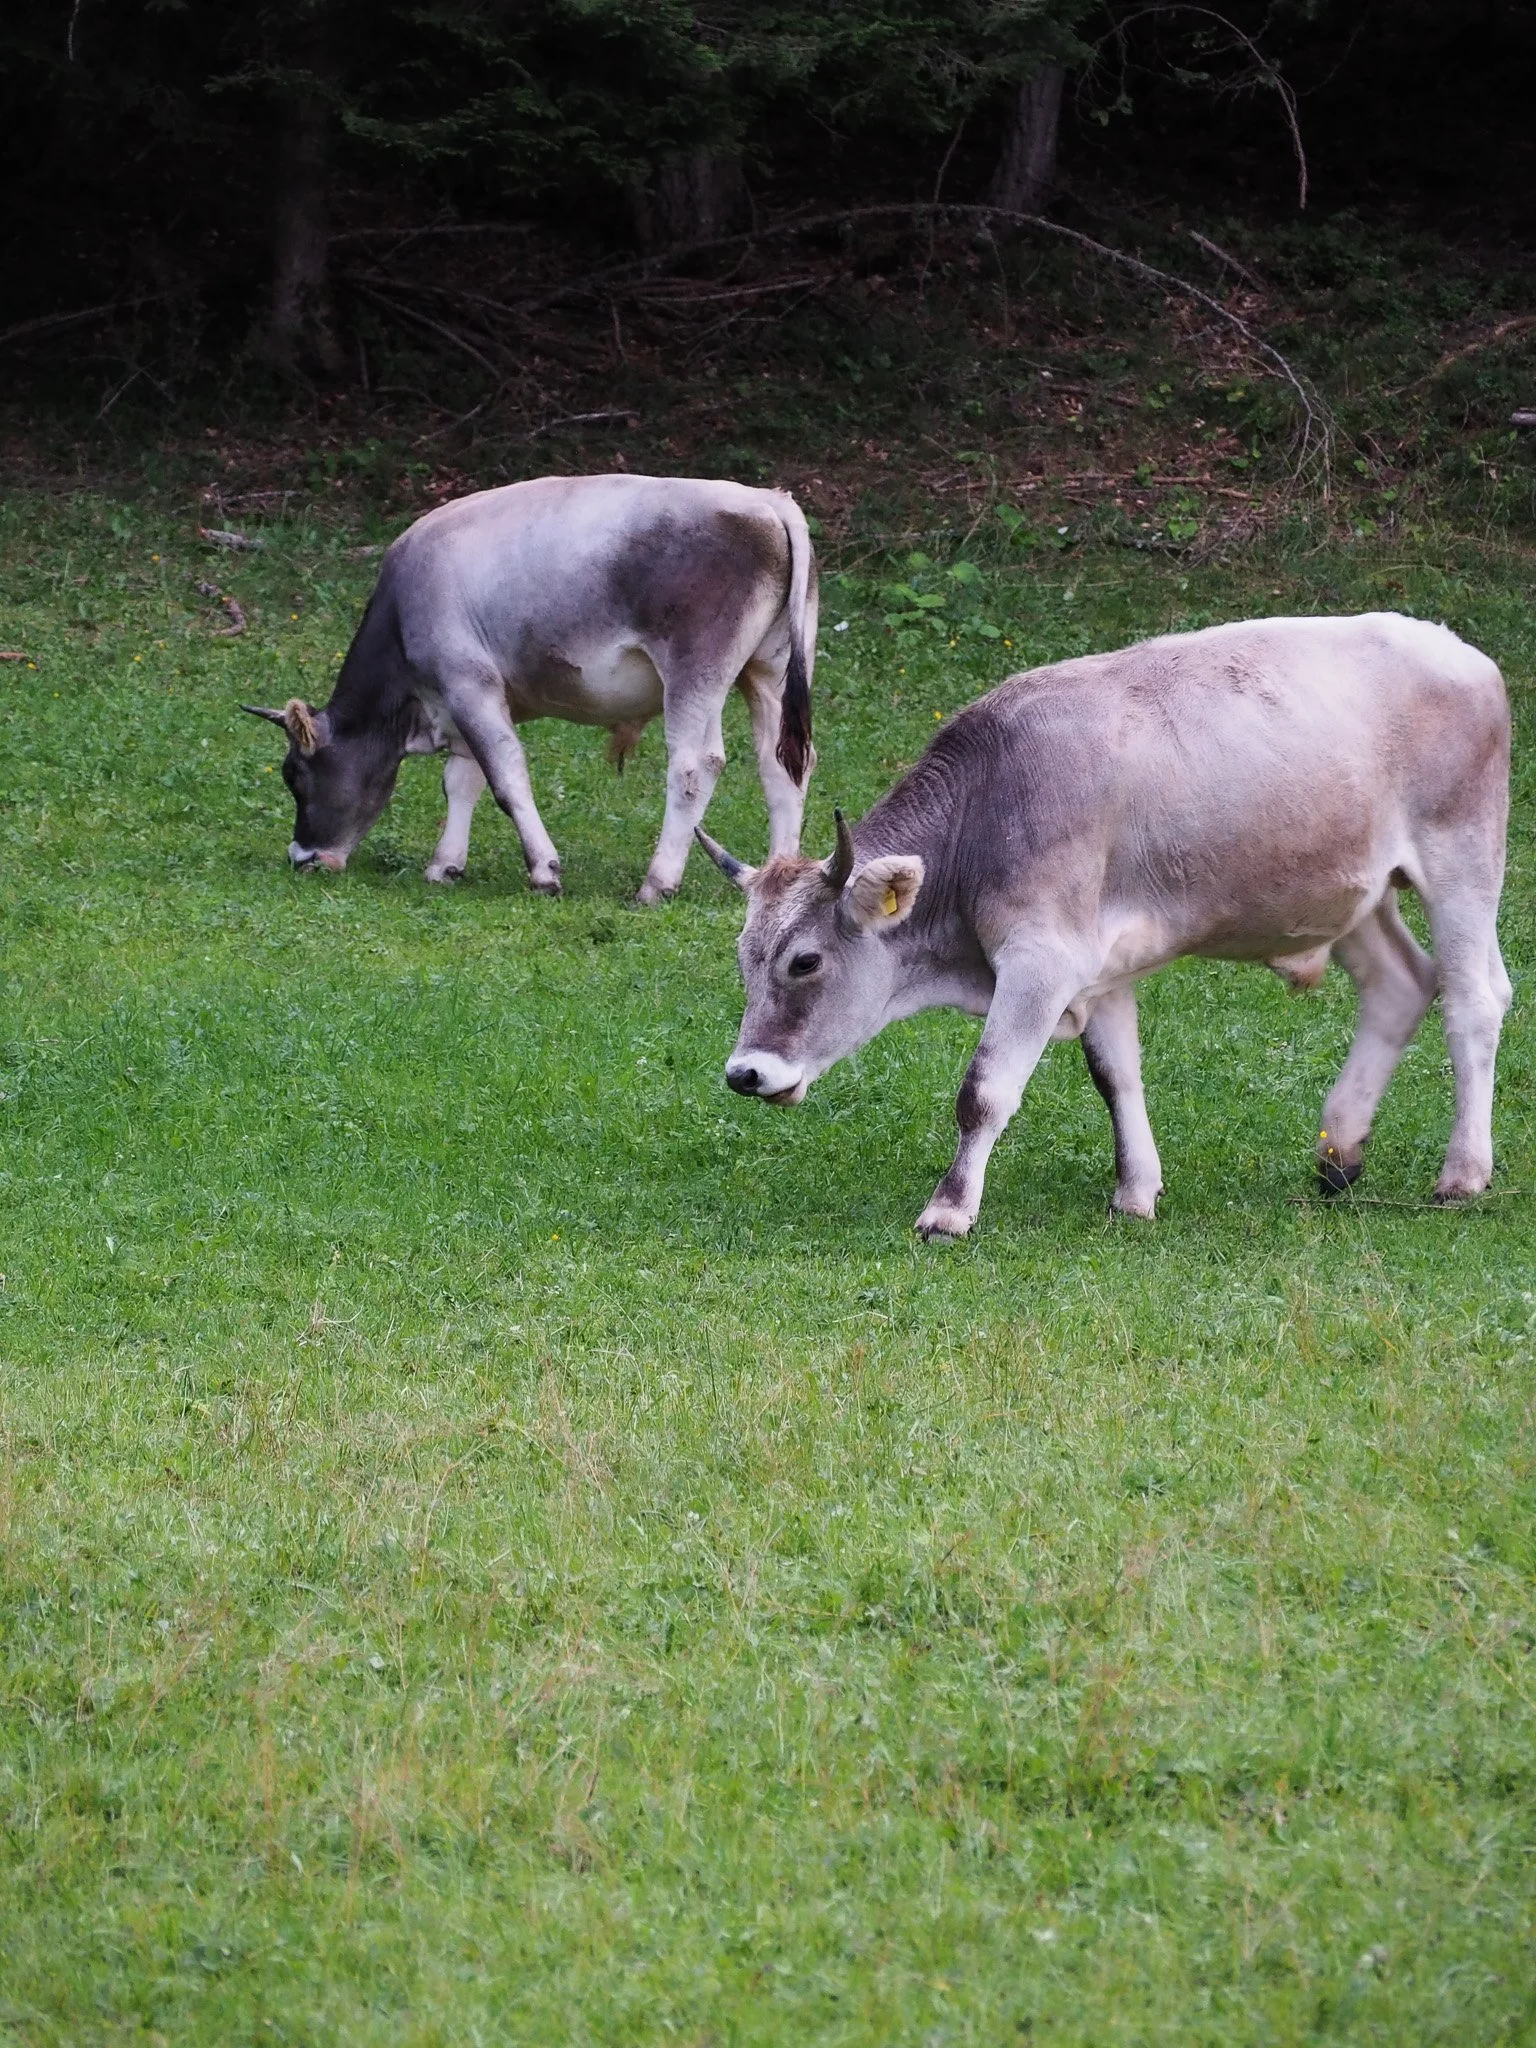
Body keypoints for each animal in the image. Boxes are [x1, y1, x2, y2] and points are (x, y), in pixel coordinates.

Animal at [242, 473, 817, 902]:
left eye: (294, 775)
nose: (303, 858)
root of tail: (767, 501)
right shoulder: (470, 699)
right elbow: (462, 779)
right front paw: (445, 865)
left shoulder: (468, 683)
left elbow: (505, 776)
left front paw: (543, 870)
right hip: (767, 671)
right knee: (782, 763)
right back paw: (779, 878)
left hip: (695, 672)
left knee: (695, 765)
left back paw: (656, 883)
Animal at [698, 613, 1511, 1236]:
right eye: (744, 959)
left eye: (805, 961)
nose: (744, 1073)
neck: (987, 806)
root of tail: (1458, 649)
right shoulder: (1098, 965)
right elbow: (1116, 1076)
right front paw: (1135, 1191)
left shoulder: (1042, 958)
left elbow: (983, 1089)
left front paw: (949, 1211)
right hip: (1353, 891)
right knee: (1400, 987)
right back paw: (1339, 1153)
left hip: (1461, 856)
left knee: (1474, 999)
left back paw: (1463, 1173)